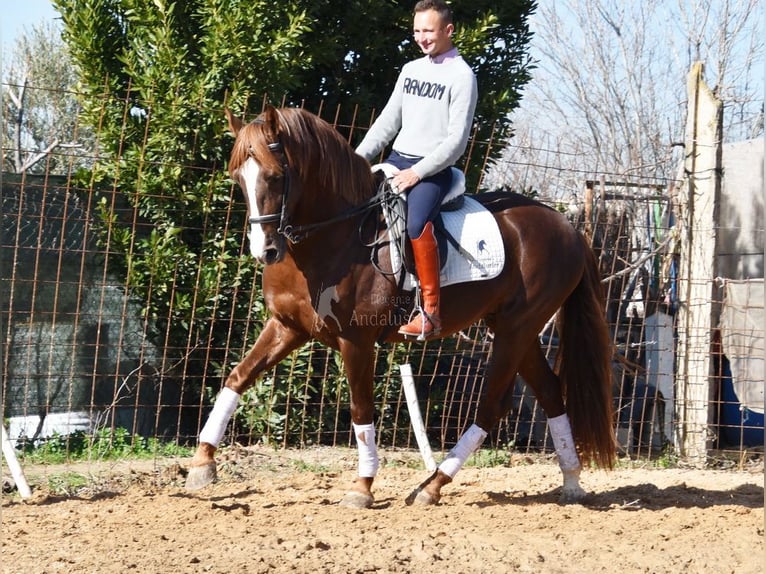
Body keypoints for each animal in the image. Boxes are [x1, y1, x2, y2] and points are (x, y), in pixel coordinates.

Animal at [188, 104, 616, 508]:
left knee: (493, 405)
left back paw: (433, 485)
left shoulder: (356, 342)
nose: (265, 251)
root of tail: (568, 227)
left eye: (276, 176)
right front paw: (202, 463)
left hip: (516, 330)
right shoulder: (287, 326)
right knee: (550, 392)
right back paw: (571, 482)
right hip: (517, 331)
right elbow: (237, 377)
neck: (331, 237)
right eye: (238, 178)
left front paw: (362, 487)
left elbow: (361, 410)